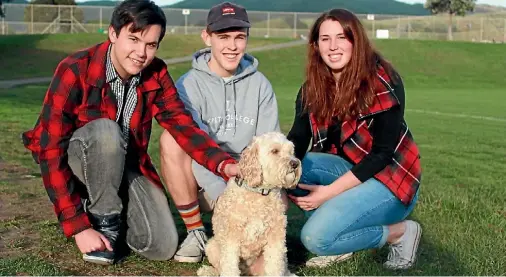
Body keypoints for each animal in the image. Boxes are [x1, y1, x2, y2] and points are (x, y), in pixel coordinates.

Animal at [197, 132, 300, 276]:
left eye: (291, 152)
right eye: (275, 151)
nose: (295, 163)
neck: (259, 193)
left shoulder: (276, 238)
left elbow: (275, 265)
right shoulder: (231, 239)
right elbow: (229, 267)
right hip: (212, 246)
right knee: (219, 267)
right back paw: (207, 271)